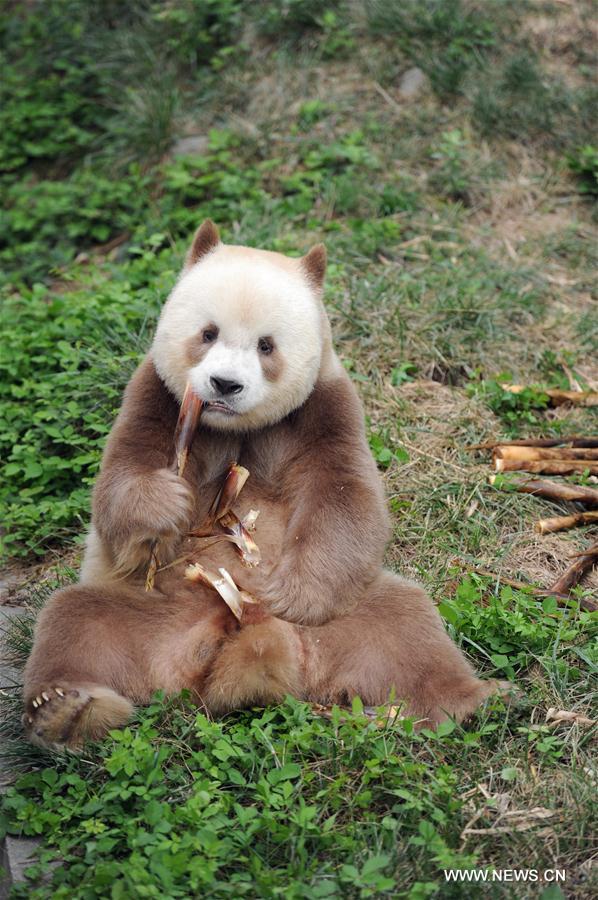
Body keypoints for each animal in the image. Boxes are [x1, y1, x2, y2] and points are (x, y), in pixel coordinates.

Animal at [23, 220, 506, 749]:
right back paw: (66, 708)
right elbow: (120, 481)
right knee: (74, 621)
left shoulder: (323, 408)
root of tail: (251, 649)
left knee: (406, 624)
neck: (236, 427)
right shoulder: (158, 396)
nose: (224, 384)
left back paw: (471, 701)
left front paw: (294, 592)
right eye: (208, 333)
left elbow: (344, 498)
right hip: (149, 615)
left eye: (266, 345)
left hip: (343, 621)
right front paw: (163, 507)